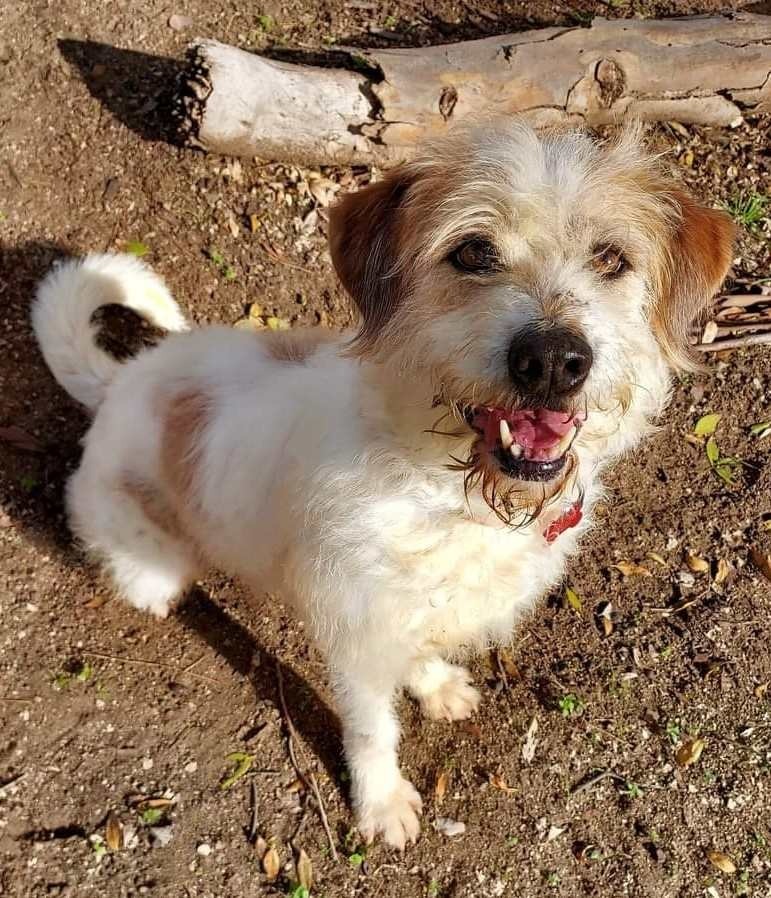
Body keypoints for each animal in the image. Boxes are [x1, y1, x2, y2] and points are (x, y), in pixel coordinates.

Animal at [34, 121, 736, 848]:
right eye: (473, 251)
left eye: (611, 257)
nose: (551, 360)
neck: (442, 490)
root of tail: (120, 383)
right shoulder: (356, 637)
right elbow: (372, 730)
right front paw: (381, 804)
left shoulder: (404, 614)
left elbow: (420, 650)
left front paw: (435, 686)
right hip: (144, 546)